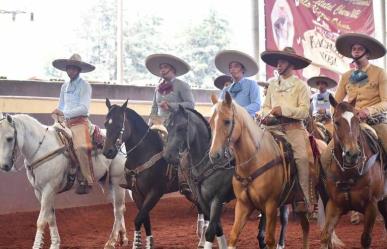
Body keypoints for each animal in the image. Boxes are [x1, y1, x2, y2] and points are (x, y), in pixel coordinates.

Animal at [0, 113, 129, 249]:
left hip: (117, 181)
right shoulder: (40, 192)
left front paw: (37, 245)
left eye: (9, 138)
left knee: (118, 210)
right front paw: (55, 244)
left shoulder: (49, 188)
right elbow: (50, 218)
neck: (42, 148)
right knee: (119, 208)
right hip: (109, 183)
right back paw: (123, 238)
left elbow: (41, 221)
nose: (4, 166)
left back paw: (111, 241)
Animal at [103, 99, 206, 249]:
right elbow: (145, 219)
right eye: (106, 124)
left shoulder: (155, 192)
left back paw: (203, 240)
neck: (144, 153)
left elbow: (138, 219)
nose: (108, 151)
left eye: (119, 123)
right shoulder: (137, 194)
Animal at [163, 105, 292, 249]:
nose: (167, 155)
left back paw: (279, 243)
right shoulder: (203, 201)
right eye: (166, 126)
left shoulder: (218, 199)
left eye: (180, 127)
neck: (210, 162)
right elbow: (217, 227)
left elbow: (210, 231)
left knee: (284, 219)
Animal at [209, 93, 334, 249]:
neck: (254, 161)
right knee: (306, 226)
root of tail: (323, 144)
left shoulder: (271, 206)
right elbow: (234, 236)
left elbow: (269, 240)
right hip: (299, 203)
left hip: (326, 195)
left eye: (227, 121)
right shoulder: (243, 205)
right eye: (210, 122)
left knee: (328, 228)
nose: (214, 155)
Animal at [322, 94, 387, 248]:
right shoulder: (334, 205)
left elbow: (366, 239)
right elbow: (326, 235)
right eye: (336, 122)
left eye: (357, 120)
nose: (353, 154)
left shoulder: (371, 206)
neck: (349, 173)